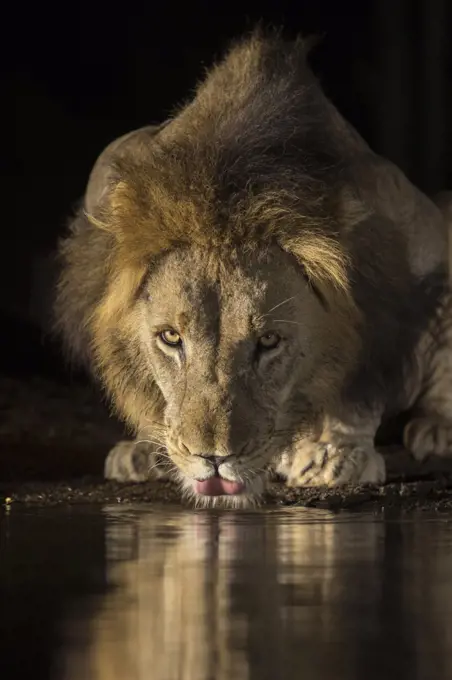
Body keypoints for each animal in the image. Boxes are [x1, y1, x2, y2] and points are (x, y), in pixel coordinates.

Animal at [54, 31, 452, 508]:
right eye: (170, 338)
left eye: (269, 341)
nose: (213, 458)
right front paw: (148, 447)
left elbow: (359, 388)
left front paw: (334, 454)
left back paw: (435, 430)